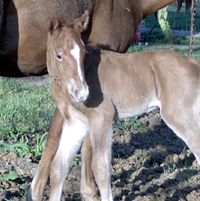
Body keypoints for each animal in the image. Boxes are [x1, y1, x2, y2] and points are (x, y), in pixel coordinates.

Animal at [45, 17, 200, 201]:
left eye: (83, 54)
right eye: (59, 55)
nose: (82, 93)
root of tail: (194, 63)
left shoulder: (102, 116)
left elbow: (101, 168)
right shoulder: (75, 122)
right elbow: (58, 167)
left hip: (179, 115)